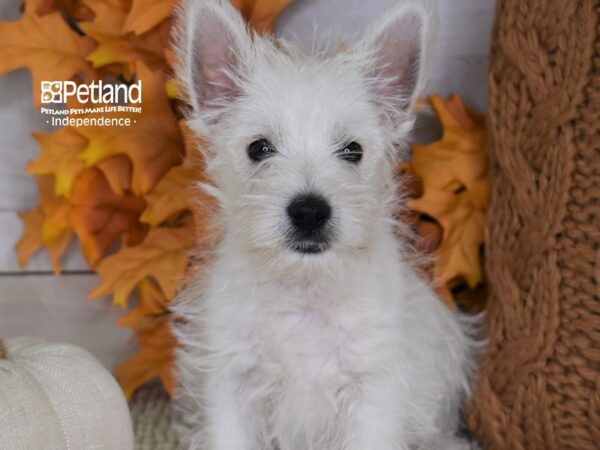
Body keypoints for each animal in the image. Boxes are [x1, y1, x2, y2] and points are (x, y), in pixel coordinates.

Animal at [172, 1, 478, 448]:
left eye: (352, 150)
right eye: (259, 148)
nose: (309, 212)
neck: (305, 288)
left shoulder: (372, 390)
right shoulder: (233, 382)